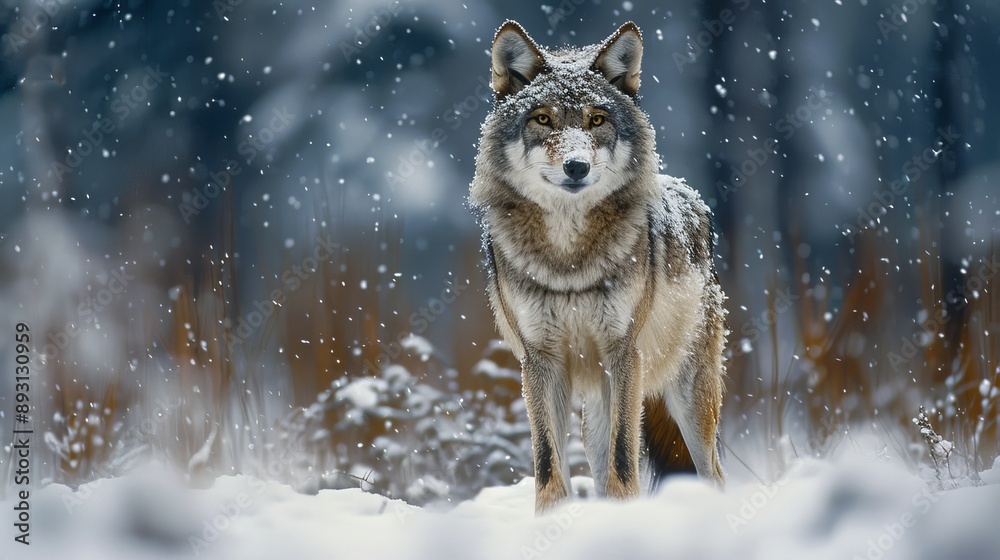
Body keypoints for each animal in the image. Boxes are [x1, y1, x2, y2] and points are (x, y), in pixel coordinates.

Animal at [470, 20, 727, 513]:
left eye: (596, 119)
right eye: (543, 119)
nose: (576, 166)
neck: (569, 260)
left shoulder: (623, 353)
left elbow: (624, 459)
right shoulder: (540, 360)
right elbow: (548, 463)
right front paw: (551, 518)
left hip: (686, 397)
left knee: (713, 474)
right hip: (595, 410)